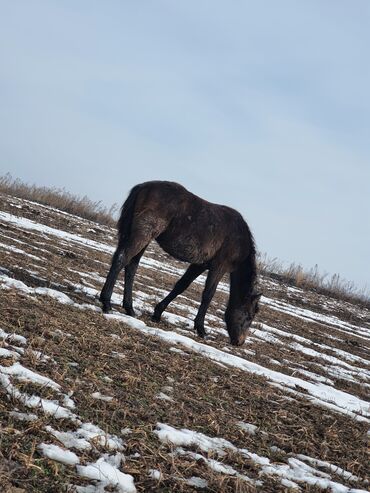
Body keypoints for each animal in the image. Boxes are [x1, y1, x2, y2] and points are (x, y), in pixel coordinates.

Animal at [98, 181, 260, 346]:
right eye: (249, 316)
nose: (239, 342)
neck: (239, 238)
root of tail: (144, 186)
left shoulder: (200, 265)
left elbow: (181, 286)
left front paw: (157, 313)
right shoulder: (219, 267)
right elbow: (208, 295)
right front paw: (201, 329)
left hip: (143, 238)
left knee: (131, 266)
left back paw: (129, 309)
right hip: (142, 235)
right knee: (121, 260)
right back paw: (107, 303)